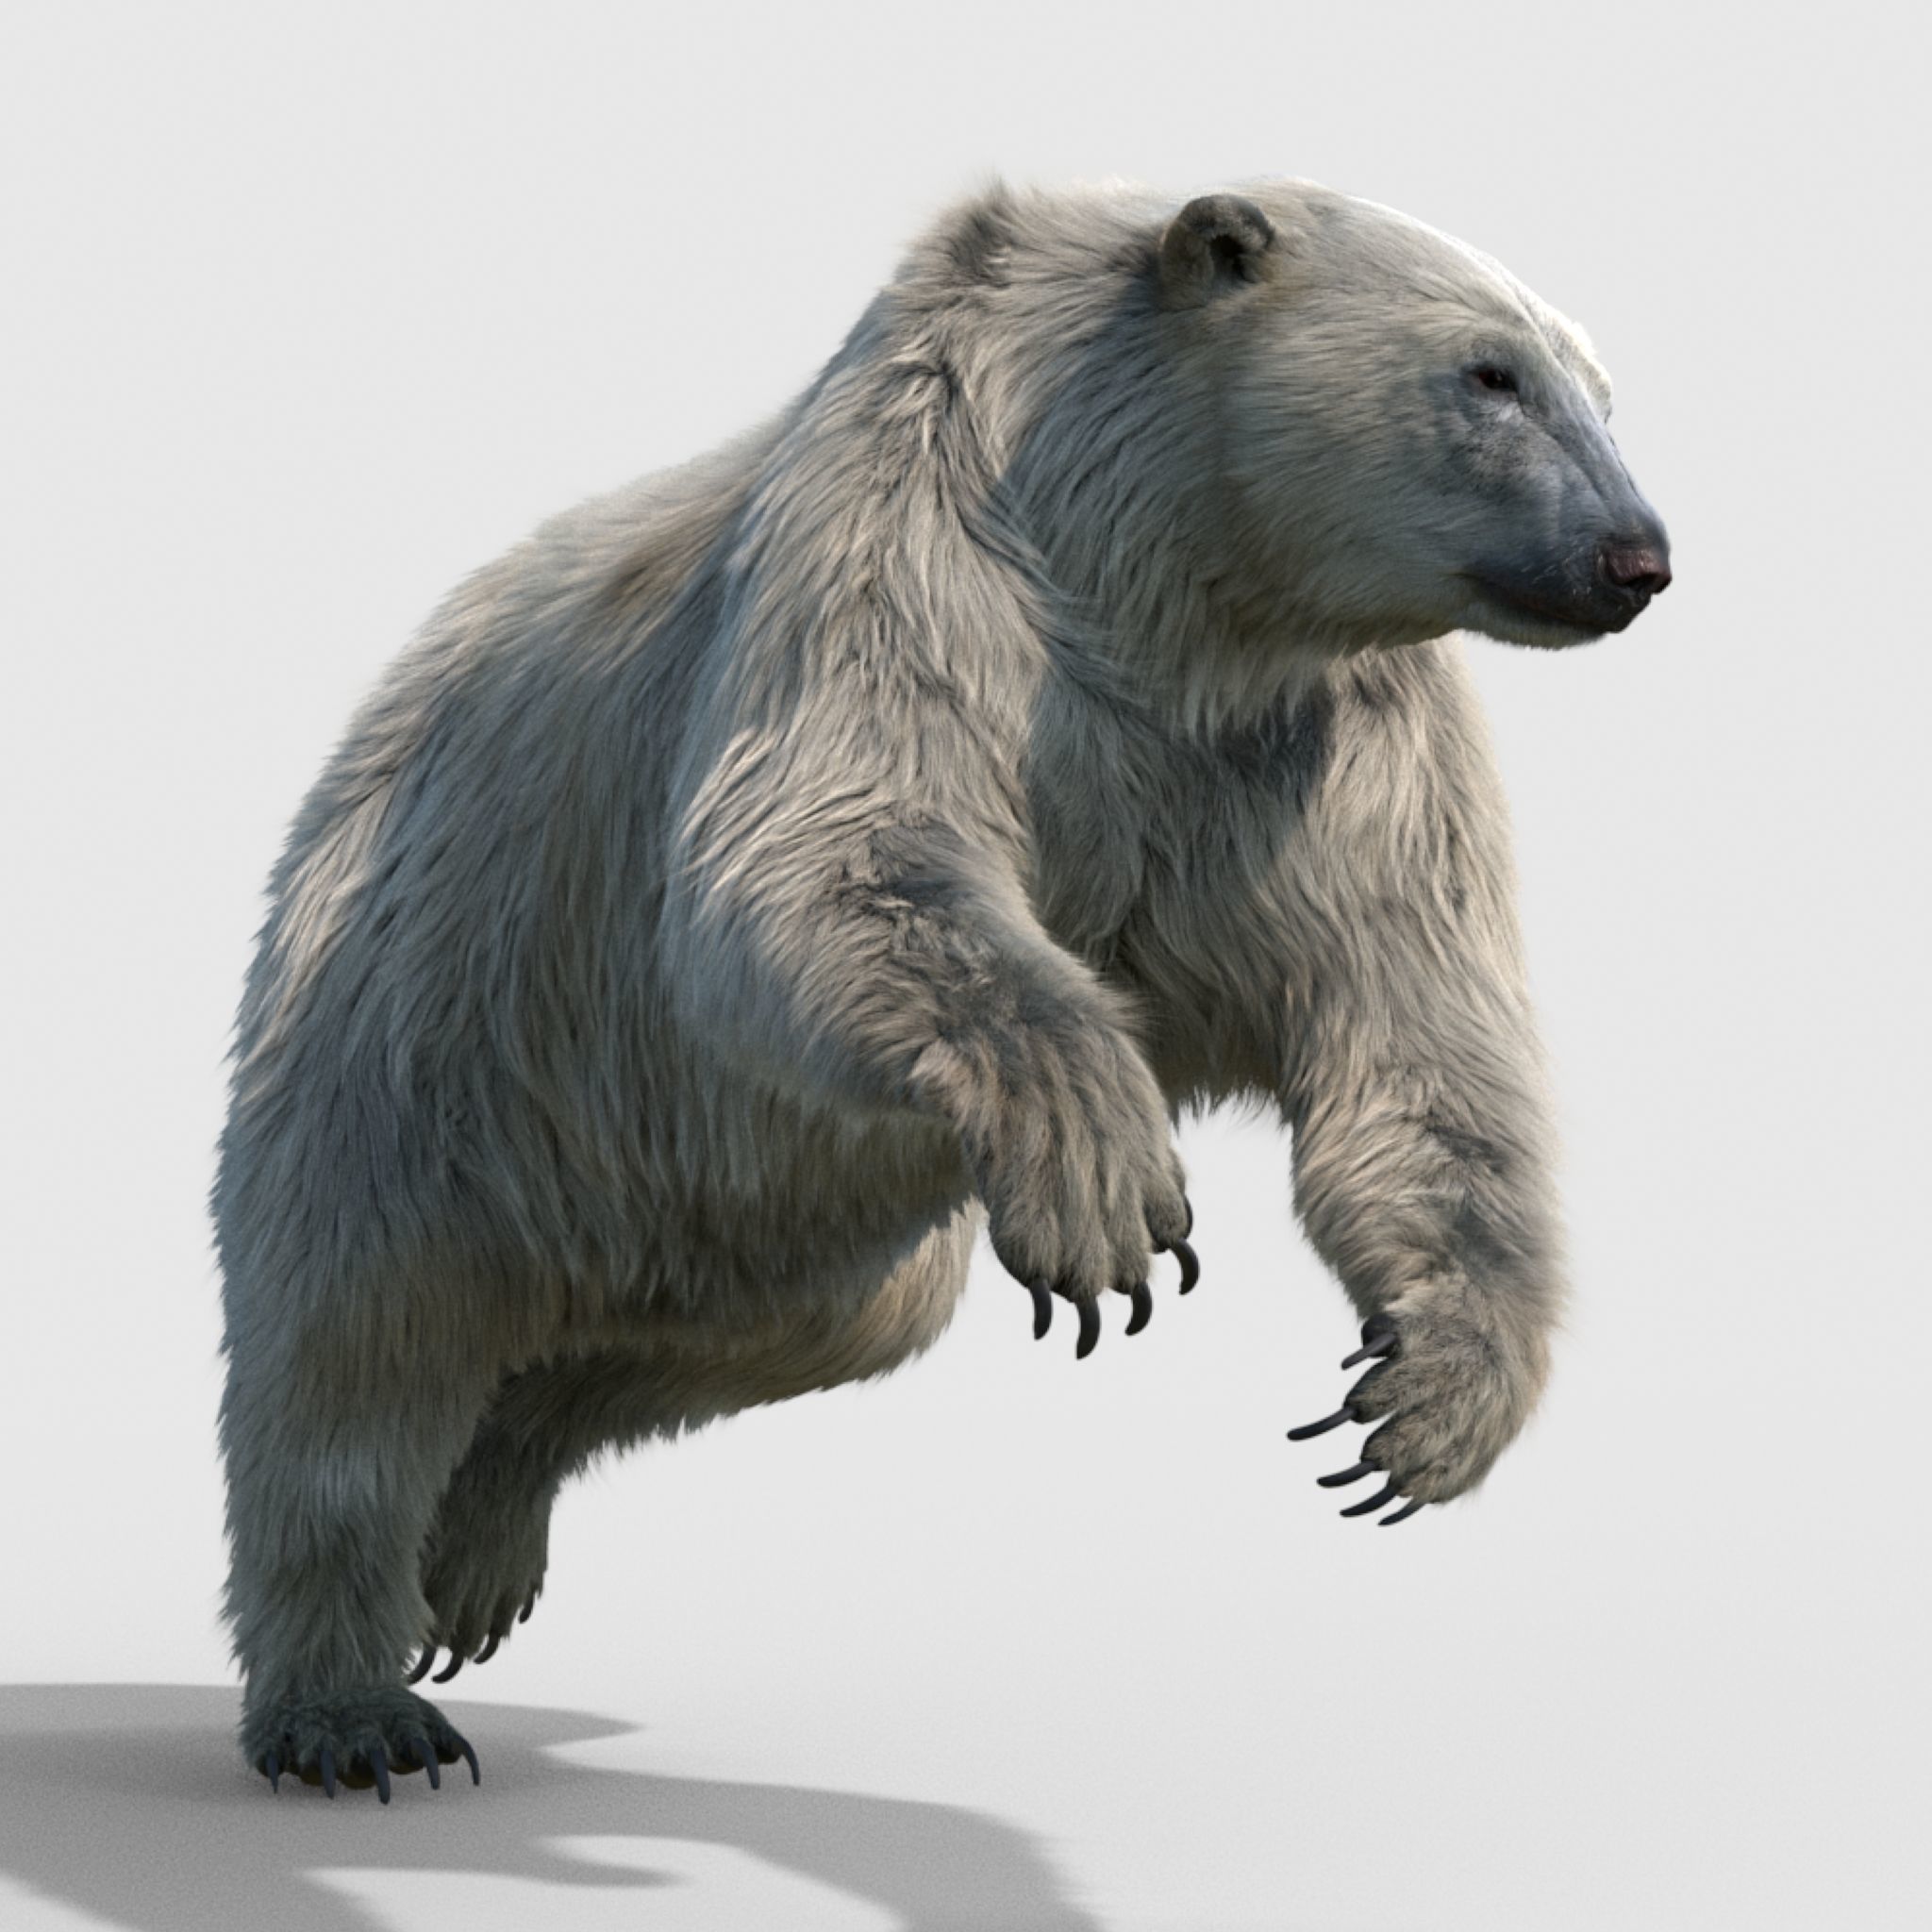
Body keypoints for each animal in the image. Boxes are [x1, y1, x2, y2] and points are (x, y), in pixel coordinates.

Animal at [214, 177, 1671, 1799]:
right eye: (1491, 374)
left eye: (1603, 391)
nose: (1638, 556)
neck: (1165, 586)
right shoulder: (919, 542)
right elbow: (833, 853)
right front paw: (1110, 1186)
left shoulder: (1330, 748)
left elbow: (1417, 1044)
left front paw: (1425, 1401)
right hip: (426, 1029)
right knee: (353, 1360)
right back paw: (358, 1708)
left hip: (784, 1213)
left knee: (747, 1334)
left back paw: (482, 1535)